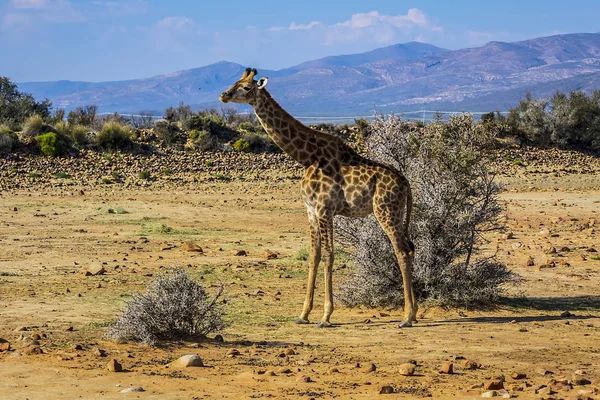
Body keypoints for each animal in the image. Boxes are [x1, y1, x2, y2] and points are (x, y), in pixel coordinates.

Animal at [220, 68, 418, 328]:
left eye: (245, 87)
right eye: (234, 82)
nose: (223, 95)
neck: (307, 157)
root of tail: (406, 183)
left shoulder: (325, 210)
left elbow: (328, 256)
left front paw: (325, 316)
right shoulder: (311, 211)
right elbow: (313, 257)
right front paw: (303, 314)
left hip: (386, 210)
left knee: (402, 251)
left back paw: (407, 317)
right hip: (396, 212)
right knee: (409, 248)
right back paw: (414, 312)